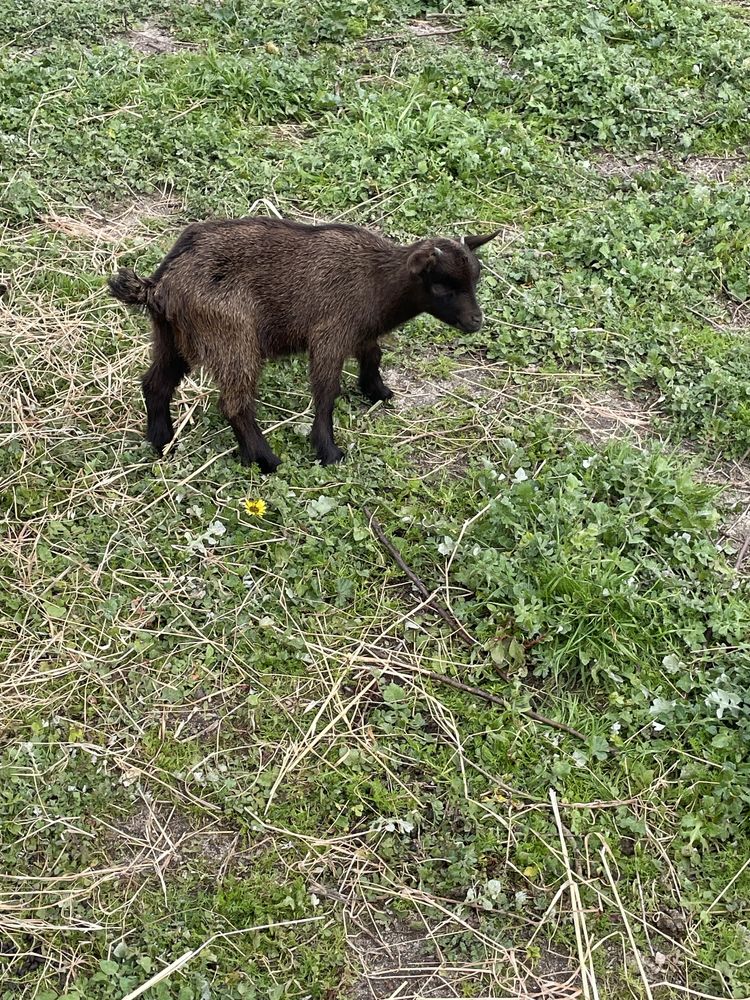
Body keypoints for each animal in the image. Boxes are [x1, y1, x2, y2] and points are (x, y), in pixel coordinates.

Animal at [108, 216, 500, 472]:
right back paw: (265, 459)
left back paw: (161, 441)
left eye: (476, 277)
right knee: (234, 403)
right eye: (442, 285)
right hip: (232, 337)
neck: (377, 281)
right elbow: (326, 393)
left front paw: (377, 391)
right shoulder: (330, 333)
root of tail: (158, 285)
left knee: (155, 384)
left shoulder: (360, 330)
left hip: (172, 337)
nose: (475, 322)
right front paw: (328, 451)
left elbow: (373, 354)